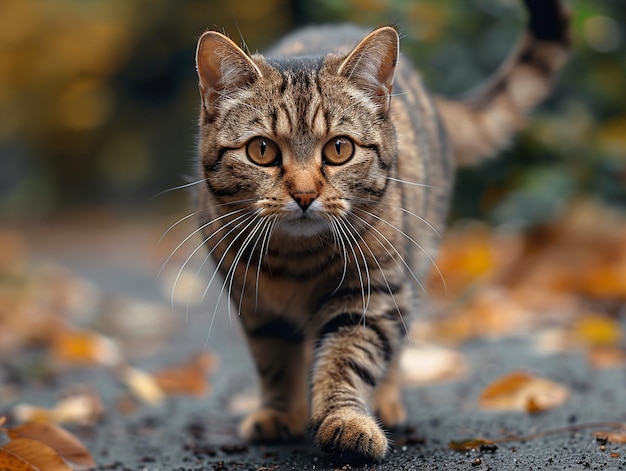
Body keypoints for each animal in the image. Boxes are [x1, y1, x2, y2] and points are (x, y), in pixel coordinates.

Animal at [193, 0, 568, 464]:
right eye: (261, 150)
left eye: (339, 149)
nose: (304, 194)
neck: (297, 259)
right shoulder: (254, 304)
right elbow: (275, 361)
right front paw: (279, 412)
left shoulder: (373, 293)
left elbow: (347, 358)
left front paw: (346, 420)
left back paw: (386, 400)